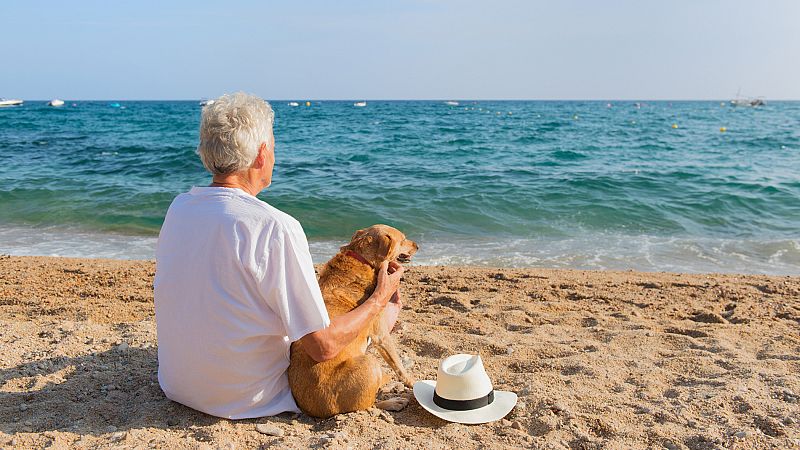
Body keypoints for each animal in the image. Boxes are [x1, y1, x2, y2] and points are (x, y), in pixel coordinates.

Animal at [290, 225, 422, 418]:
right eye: (403, 239)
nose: (418, 246)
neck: (363, 260)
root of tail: (313, 410)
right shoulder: (381, 334)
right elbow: (397, 364)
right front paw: (411, 382)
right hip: (369, 363)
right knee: (369, 405)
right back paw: (393, 400)